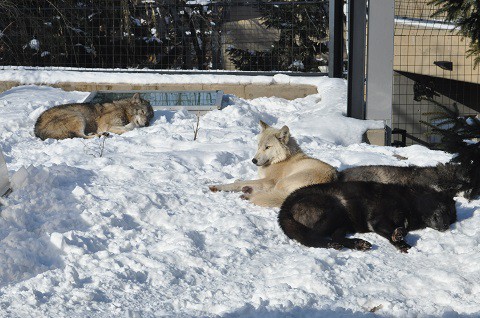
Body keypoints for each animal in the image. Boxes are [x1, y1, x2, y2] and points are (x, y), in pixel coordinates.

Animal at [210, 120, 338, 207]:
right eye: (259, 146)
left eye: (267, 147)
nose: (253, 161)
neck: (281, 160)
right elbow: (242, 181)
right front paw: (240, 181)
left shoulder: (269, 181)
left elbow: (237, 183)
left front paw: (218, 187)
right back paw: (247, 191)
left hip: (281, 182)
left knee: (271, 195)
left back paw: (247, 194)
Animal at [276, 181, 456, 253]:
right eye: (447, 210)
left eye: (452, 219)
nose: (446, 226)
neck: (408, 202)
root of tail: (285, 206)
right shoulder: (377, 219)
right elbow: (398, 231)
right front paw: (400, 239)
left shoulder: (379, 224)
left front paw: (400, 242)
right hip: (333, 210)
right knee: (312, 237)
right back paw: (334, 245)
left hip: (343, 222)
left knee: (335, 236)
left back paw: (358, 244)